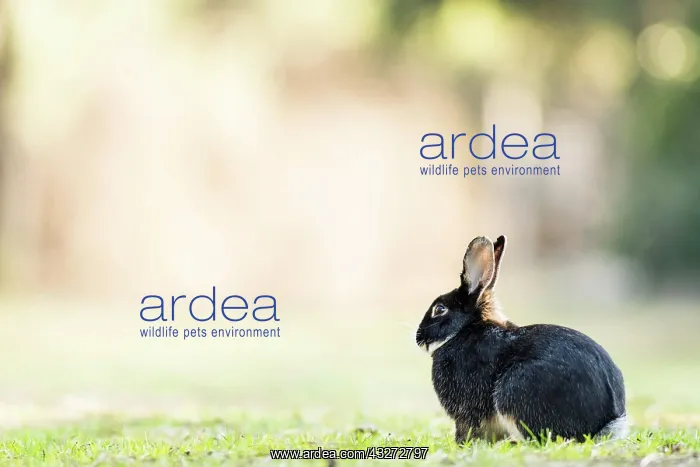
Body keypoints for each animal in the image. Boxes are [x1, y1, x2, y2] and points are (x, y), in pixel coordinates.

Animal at [415, 235, 627, 444]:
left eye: (439, 309)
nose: (418, 337)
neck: (462, 331)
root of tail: (605, 422)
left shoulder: (467, 411)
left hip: (515, 390)